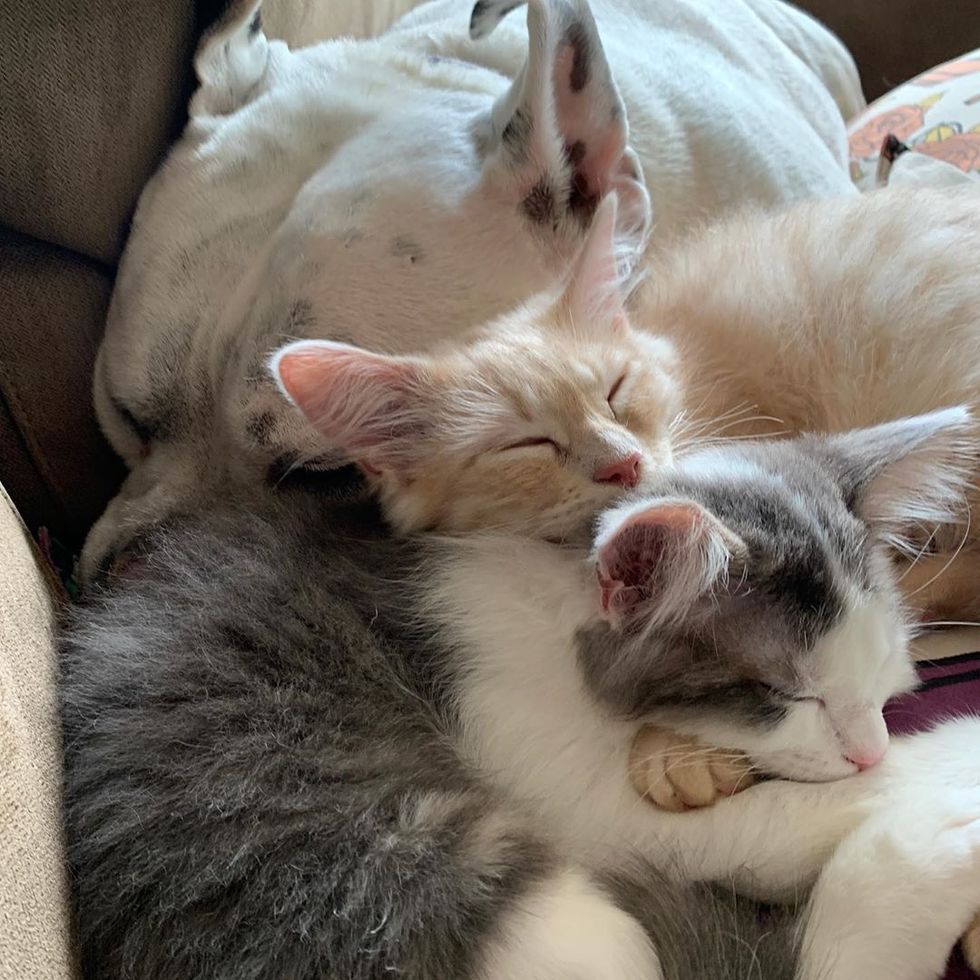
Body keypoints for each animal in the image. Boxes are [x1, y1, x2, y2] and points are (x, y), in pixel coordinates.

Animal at [61, 410, 980, 976]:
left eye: (886, 677)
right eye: (783, 694)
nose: (867, 747)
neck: (548, 601)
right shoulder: (546, 761)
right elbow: (775, 817)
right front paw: (936, 771)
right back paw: (926, 855)